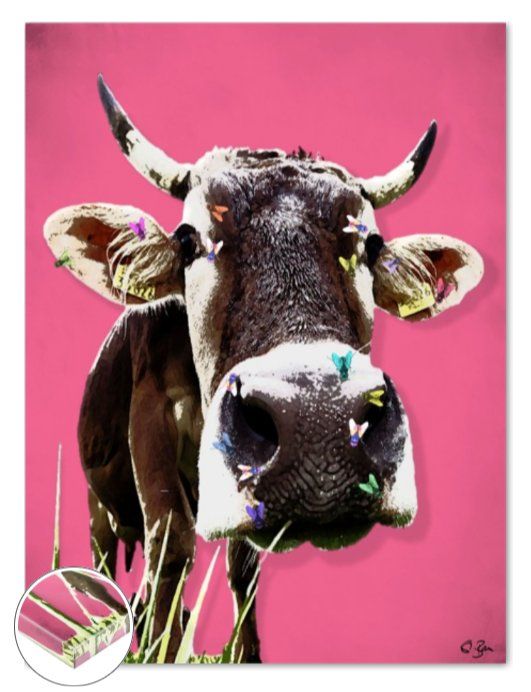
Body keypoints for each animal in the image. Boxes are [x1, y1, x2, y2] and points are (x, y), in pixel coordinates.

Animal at [44, 75, 484, 663]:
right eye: (188, 240)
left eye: (371, 246)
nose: (318, 427)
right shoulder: (150, 413)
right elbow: (171, 540)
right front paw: (161, 651)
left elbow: (243, 567)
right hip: (97, 504)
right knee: (105, 562)